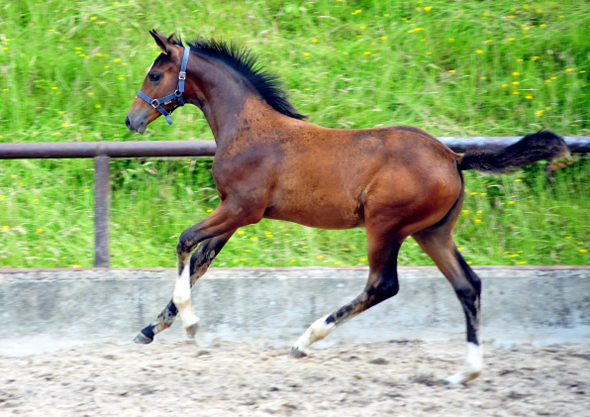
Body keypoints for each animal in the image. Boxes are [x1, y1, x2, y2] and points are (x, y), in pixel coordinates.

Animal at [123, 30, 568, 386]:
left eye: (155, 75)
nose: (132, 120)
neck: (245, 127)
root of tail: (453, 158)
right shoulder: (233, 214)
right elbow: (200, 261)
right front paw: (150, 329)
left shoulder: (241, 210)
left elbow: (185, 242)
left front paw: (190, 323)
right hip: (433, 232)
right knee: (467, 285)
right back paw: (465, 373)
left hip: (385, 227)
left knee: (383, 285)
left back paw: (305, 340)